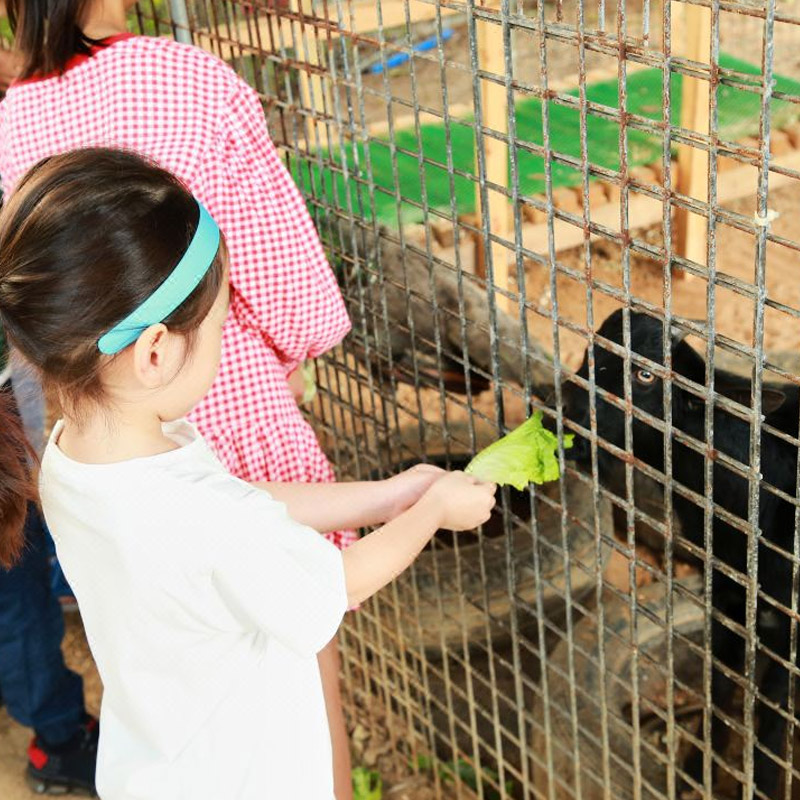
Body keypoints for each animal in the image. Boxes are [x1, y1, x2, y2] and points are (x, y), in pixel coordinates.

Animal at [564, 308, 796, 800]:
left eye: (646, 375)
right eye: (593, 346)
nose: (564, 407)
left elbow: (769, 725)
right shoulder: (727, 603)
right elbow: (718, 692)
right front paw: (694, 772)